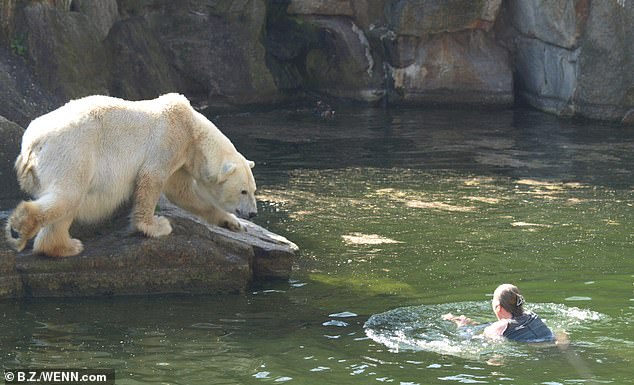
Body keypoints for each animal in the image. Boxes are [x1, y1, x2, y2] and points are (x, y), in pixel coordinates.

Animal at [4, 92, 256, 255]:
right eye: (243, 191)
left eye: (253, 190)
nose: (253, 213)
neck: (193, 130)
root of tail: (31, 145)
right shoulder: (168, 141)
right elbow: (151, 180)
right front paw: (155, 226)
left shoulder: (181, 158)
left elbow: (184, 194)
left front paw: (234, 224)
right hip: (71, 152)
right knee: (68, 196)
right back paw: (20, 227)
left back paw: (64, 246)